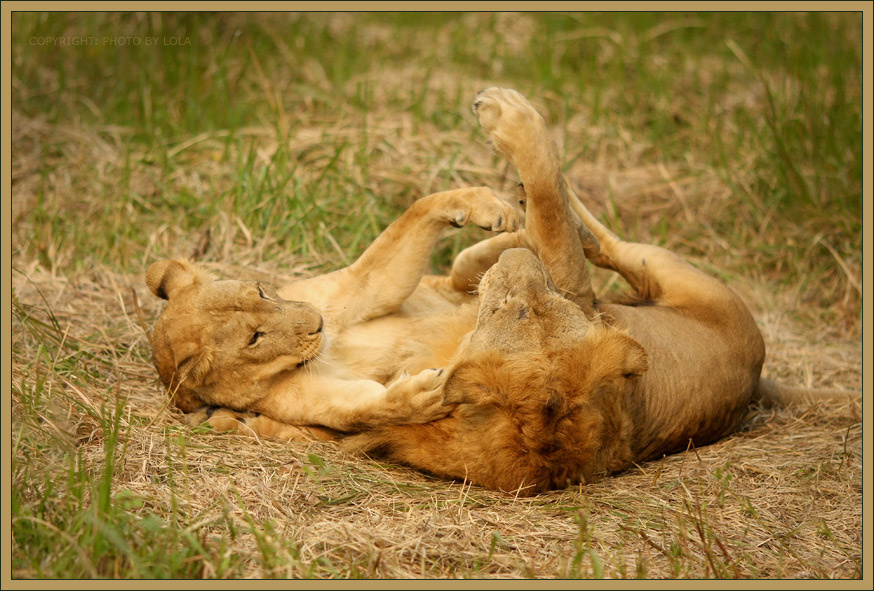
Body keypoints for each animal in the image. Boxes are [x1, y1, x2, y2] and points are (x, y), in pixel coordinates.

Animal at [146, 88, 857, 494]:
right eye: (255, 339)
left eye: (262, 293)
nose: (314, 323)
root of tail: (757, 380)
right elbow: (369, 407)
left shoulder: (353, 289)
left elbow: (406, 239)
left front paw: (478, 210)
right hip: (678, 278)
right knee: (593, 238)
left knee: (581, 241)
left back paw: (503, 227)